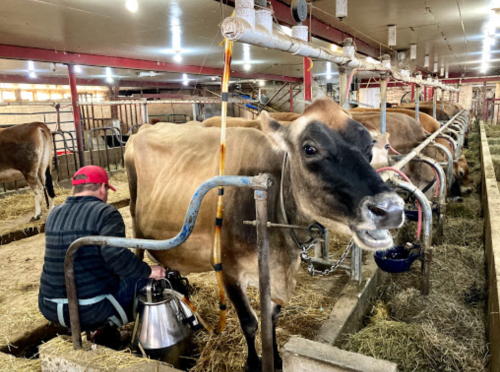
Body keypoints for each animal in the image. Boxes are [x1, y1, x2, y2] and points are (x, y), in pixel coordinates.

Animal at [124, 96, 402, 372]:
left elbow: (272, 317)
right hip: (136, 224)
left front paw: (276, 358)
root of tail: (143, 129)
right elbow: (250, 322)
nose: (391, 208)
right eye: (309, 149)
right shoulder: (228, 269)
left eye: (369, 148)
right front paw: (254, 363)